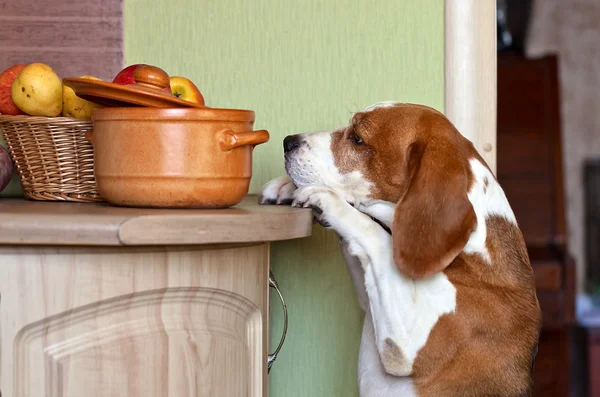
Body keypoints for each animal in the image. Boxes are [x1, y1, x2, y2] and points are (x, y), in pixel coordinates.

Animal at [260, 103, 540, 396]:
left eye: (357, 138)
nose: (287, 142)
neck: (470, 252)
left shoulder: (404, 347)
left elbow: (375, 236)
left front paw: (327, 198)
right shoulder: (370, 302)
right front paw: (285, 186)